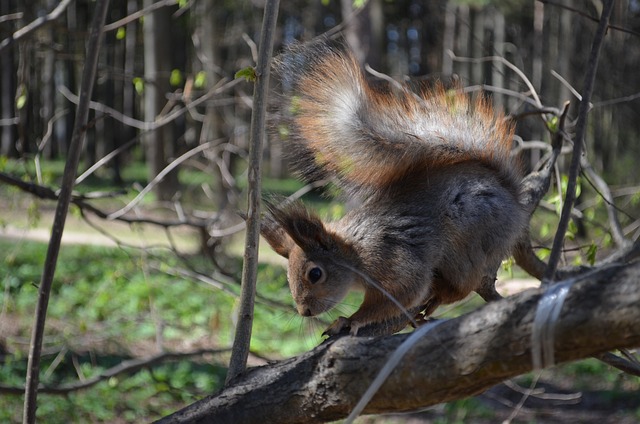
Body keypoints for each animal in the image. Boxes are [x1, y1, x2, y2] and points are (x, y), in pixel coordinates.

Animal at [258, 39, 524, 338]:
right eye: (286, 275)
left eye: (315, 273)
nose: (304, 311)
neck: (355, 252)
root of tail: (512, 198)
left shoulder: (393, 261)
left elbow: (404, 292)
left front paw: (350, 320)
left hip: (469, 240)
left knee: (461, 286)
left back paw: (437, 297)